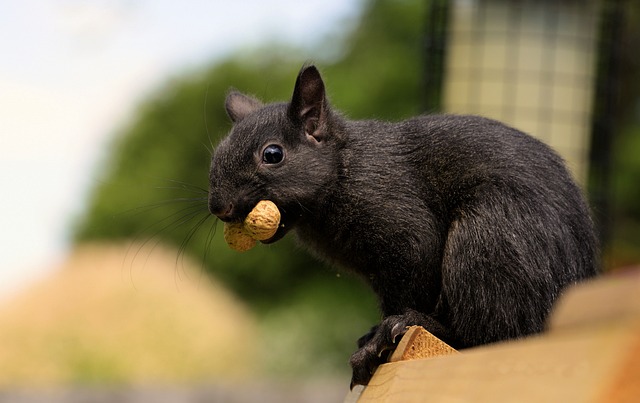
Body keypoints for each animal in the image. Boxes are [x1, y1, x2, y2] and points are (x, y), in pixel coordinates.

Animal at [209, 64, 600, 386]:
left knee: (486, 335)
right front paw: (372, 335)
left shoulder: (402, 225)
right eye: (216, 155)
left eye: (272, 154)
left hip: (490, 240)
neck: (344, 169)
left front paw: (382, 338)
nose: (219, 207)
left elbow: (410, 284)